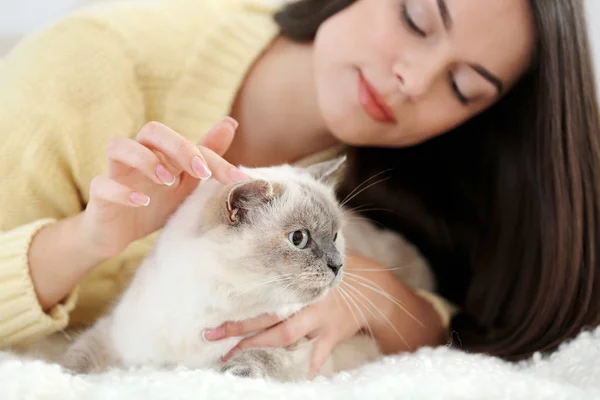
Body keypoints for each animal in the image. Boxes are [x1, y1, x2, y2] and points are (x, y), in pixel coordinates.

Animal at [62, 156, 436, 382]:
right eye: (299, 239)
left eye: (334, 236)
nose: (338, 264)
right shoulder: (115, 335)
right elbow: (76, 358)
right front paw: (60, 376)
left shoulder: (313, 349)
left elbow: (257, 359)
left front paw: (230, 372)